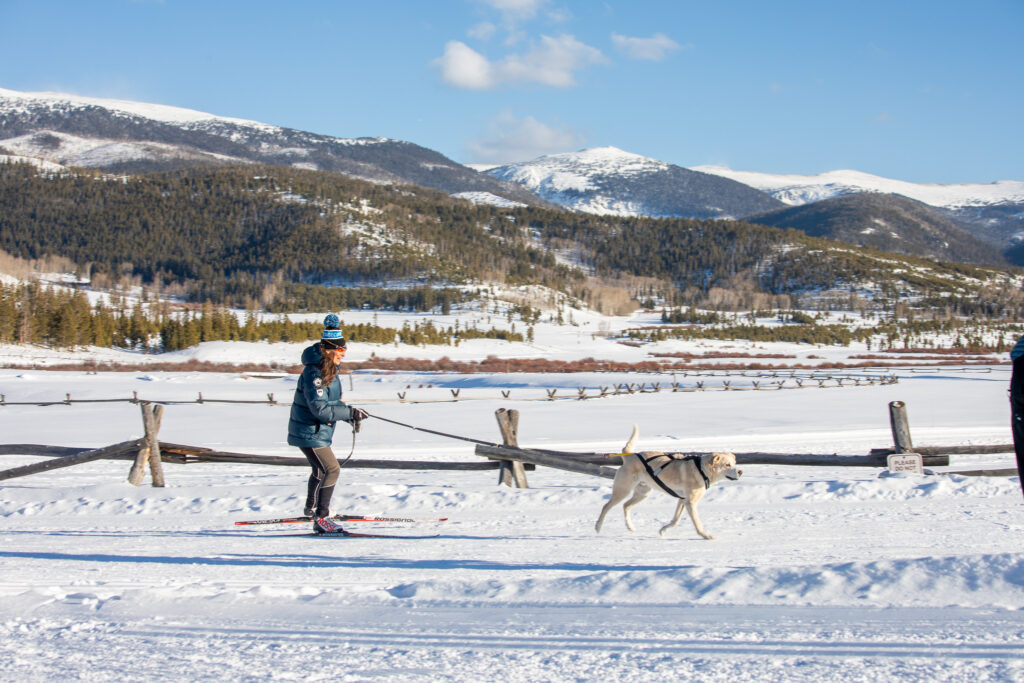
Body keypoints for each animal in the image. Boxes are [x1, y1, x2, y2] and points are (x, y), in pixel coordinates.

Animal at [593, 428, 745, 540]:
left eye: (734, 463)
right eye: (727, 464)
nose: (740, 471)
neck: (701, 469)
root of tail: (629, 455)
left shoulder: (682, 500)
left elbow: (676, 520)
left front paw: (663, 530)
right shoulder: (690, 503)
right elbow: (697, 522)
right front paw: (706, 535)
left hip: (643, 493)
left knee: (626, 506)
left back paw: (630, 526)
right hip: (623, 490)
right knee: (606, 506)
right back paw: (598, 526)